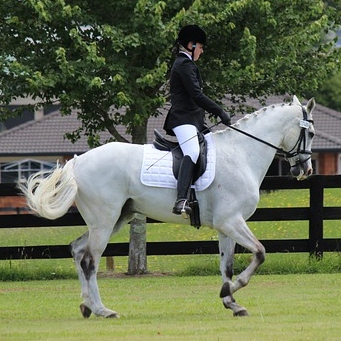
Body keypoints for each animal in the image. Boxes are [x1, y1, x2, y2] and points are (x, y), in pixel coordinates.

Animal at [19, 95, 314, 316]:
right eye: (309, 132)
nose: (306, 170)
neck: (240, 153)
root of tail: (78, 161)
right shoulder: (231, 221)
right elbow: (260, 253)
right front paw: (233, 290)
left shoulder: (226, 226)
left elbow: (227, 265)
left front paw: (231, 301)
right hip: (104, 221)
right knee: (90, 260)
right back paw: (103, 310)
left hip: (115, 219)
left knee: (78, 250)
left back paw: (86, 305)